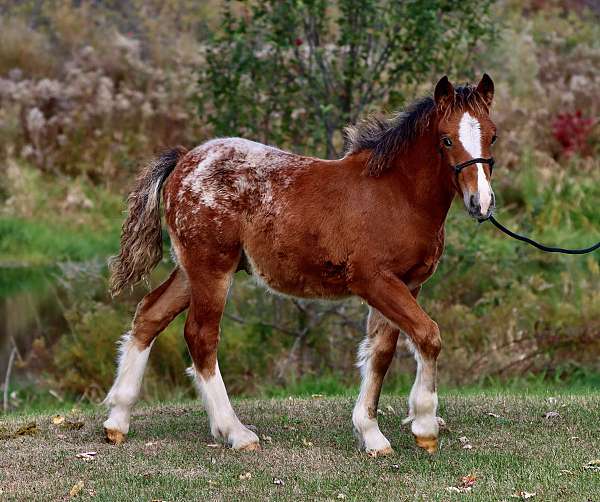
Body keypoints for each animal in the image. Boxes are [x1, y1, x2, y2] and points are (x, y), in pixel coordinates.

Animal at [103, 74, 496, 454]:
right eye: (446, 140)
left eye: (492, 136)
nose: (481, 203)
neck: (396, 195)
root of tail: (184, 160)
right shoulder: (374, 281)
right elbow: (428, 335)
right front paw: (425, 426)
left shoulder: (408, 284)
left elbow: (381, 353)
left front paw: (371, 435)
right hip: (212, 269)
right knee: (200, 336)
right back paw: (236, 433)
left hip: (191, 271)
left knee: (150, 314)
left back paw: (117, 420)